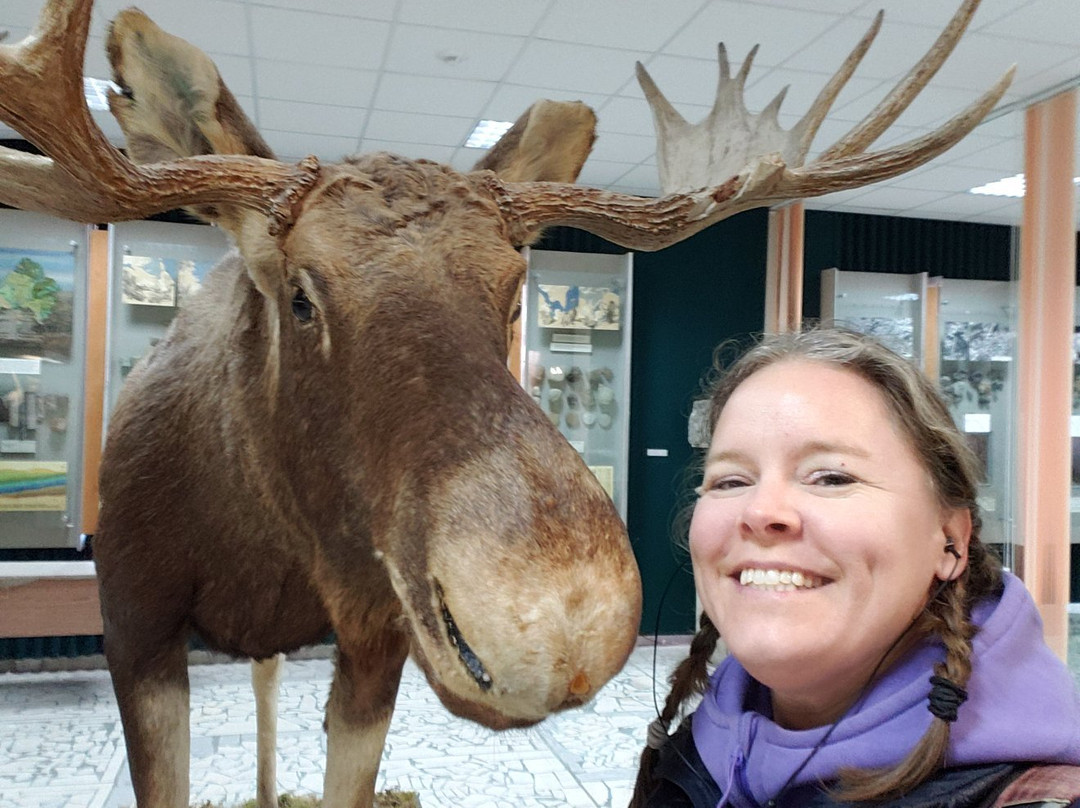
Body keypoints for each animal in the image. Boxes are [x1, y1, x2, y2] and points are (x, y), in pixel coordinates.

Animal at [0, 1, 1010, 808]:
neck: (264, 540)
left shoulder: (375, 637)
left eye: (515, 289)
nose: (563, 623)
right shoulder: (135, 623)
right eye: (299, 294)